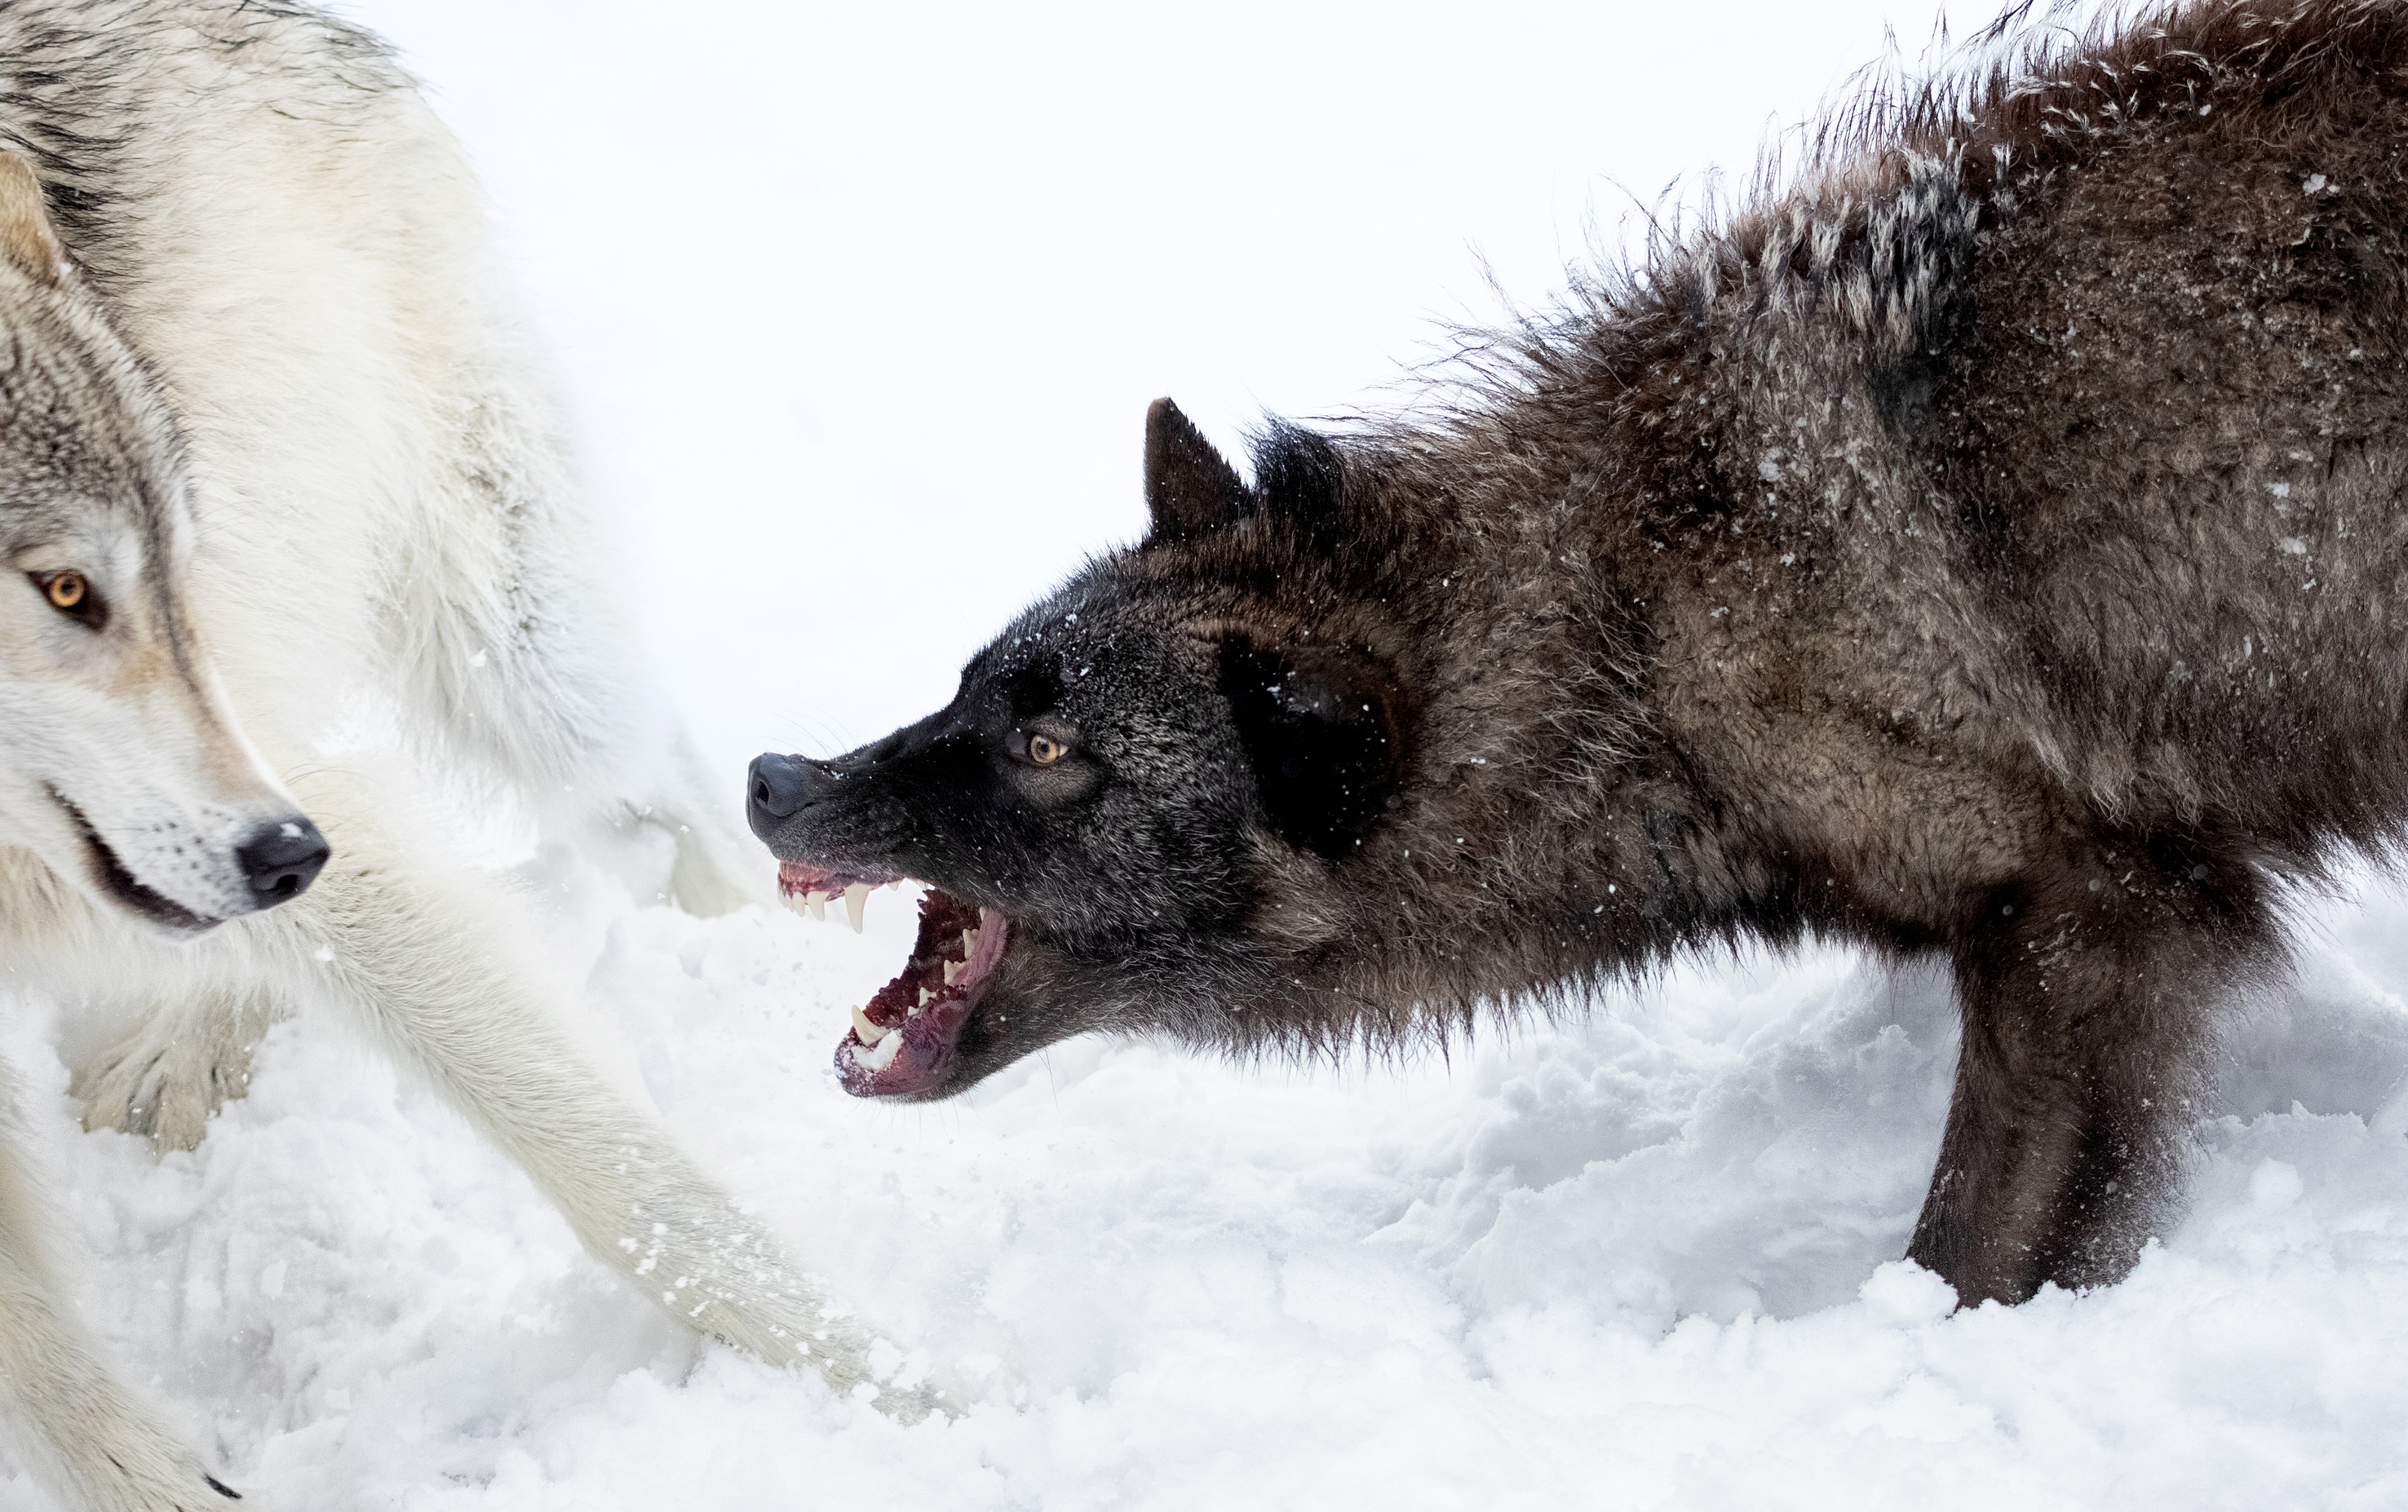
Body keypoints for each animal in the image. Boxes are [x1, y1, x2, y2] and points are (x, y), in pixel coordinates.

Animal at [0, 2, 880, 1506]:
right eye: (62, 590)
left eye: (128, 576)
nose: (284, 855)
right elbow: (35, 1348)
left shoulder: (295, 794)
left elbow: (626, 1172)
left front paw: (894, 1384)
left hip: (510, 643)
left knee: (679, 798)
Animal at [750, 0, 2408, 1317]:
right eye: (972, 684)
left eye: (1051, 748)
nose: (776, 778)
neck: (1639, 613)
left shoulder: (2093, 917)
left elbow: (1973, 1249)